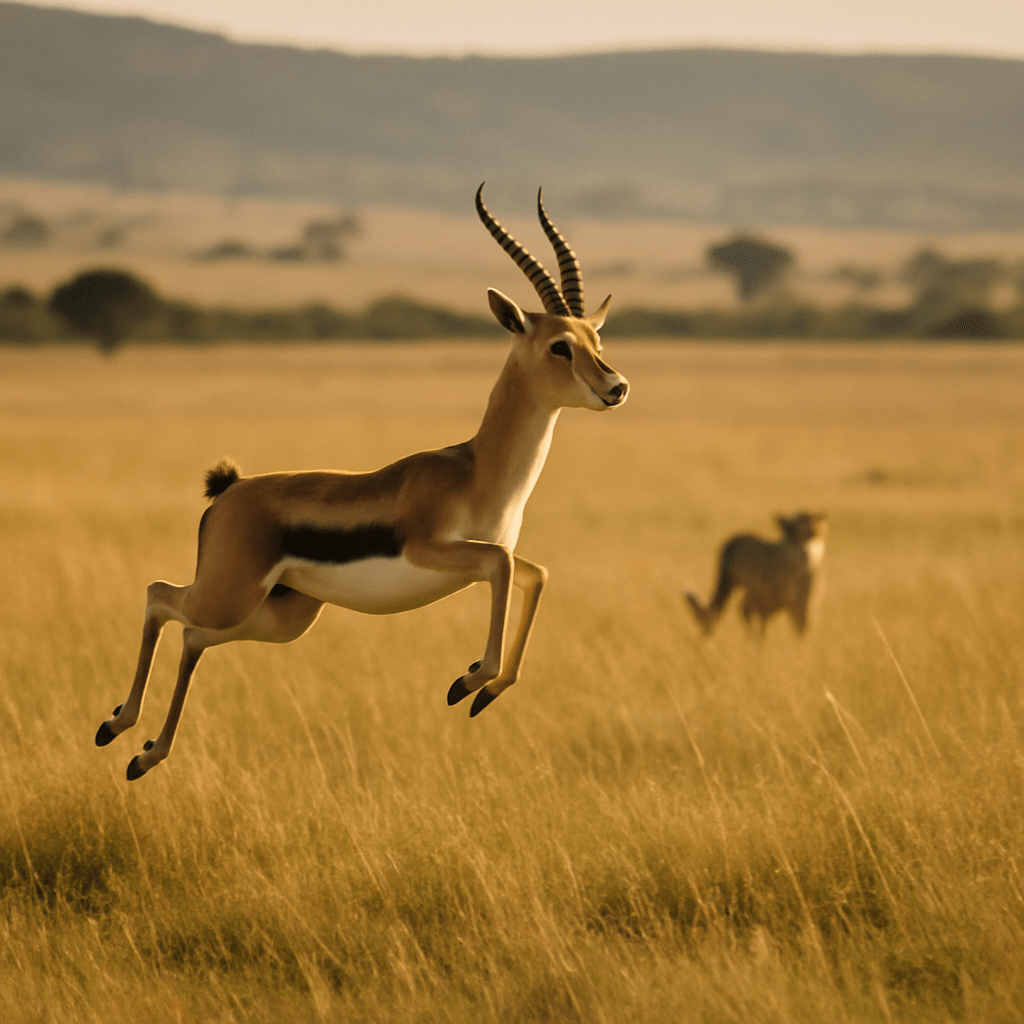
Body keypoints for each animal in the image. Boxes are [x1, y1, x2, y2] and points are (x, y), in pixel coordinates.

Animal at [96, 184, 629, 780]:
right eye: (560, 345)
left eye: (596, 338)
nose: (616, 386)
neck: (477, 470)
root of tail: (229, 490)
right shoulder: (436, 549)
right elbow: (505, 566)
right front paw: (467, 681)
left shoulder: (487, 553)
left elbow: (535, 574)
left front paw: (482, 691)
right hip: (231, 597)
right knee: (158, 596)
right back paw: (117, 726)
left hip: (281, 615)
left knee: (191, 635)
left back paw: (143, 753)